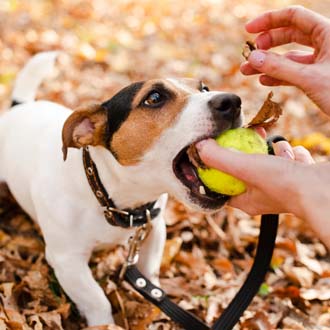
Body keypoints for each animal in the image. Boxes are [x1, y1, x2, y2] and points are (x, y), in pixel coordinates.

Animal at [0, 52, 242, 326]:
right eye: (154, 97)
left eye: (204, 88)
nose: (232, 101)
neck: (107, 194)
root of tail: (19, 106)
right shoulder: (66, 260)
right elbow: (97, 300)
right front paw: (103, 324)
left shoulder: (154, 228)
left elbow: (150, 273)